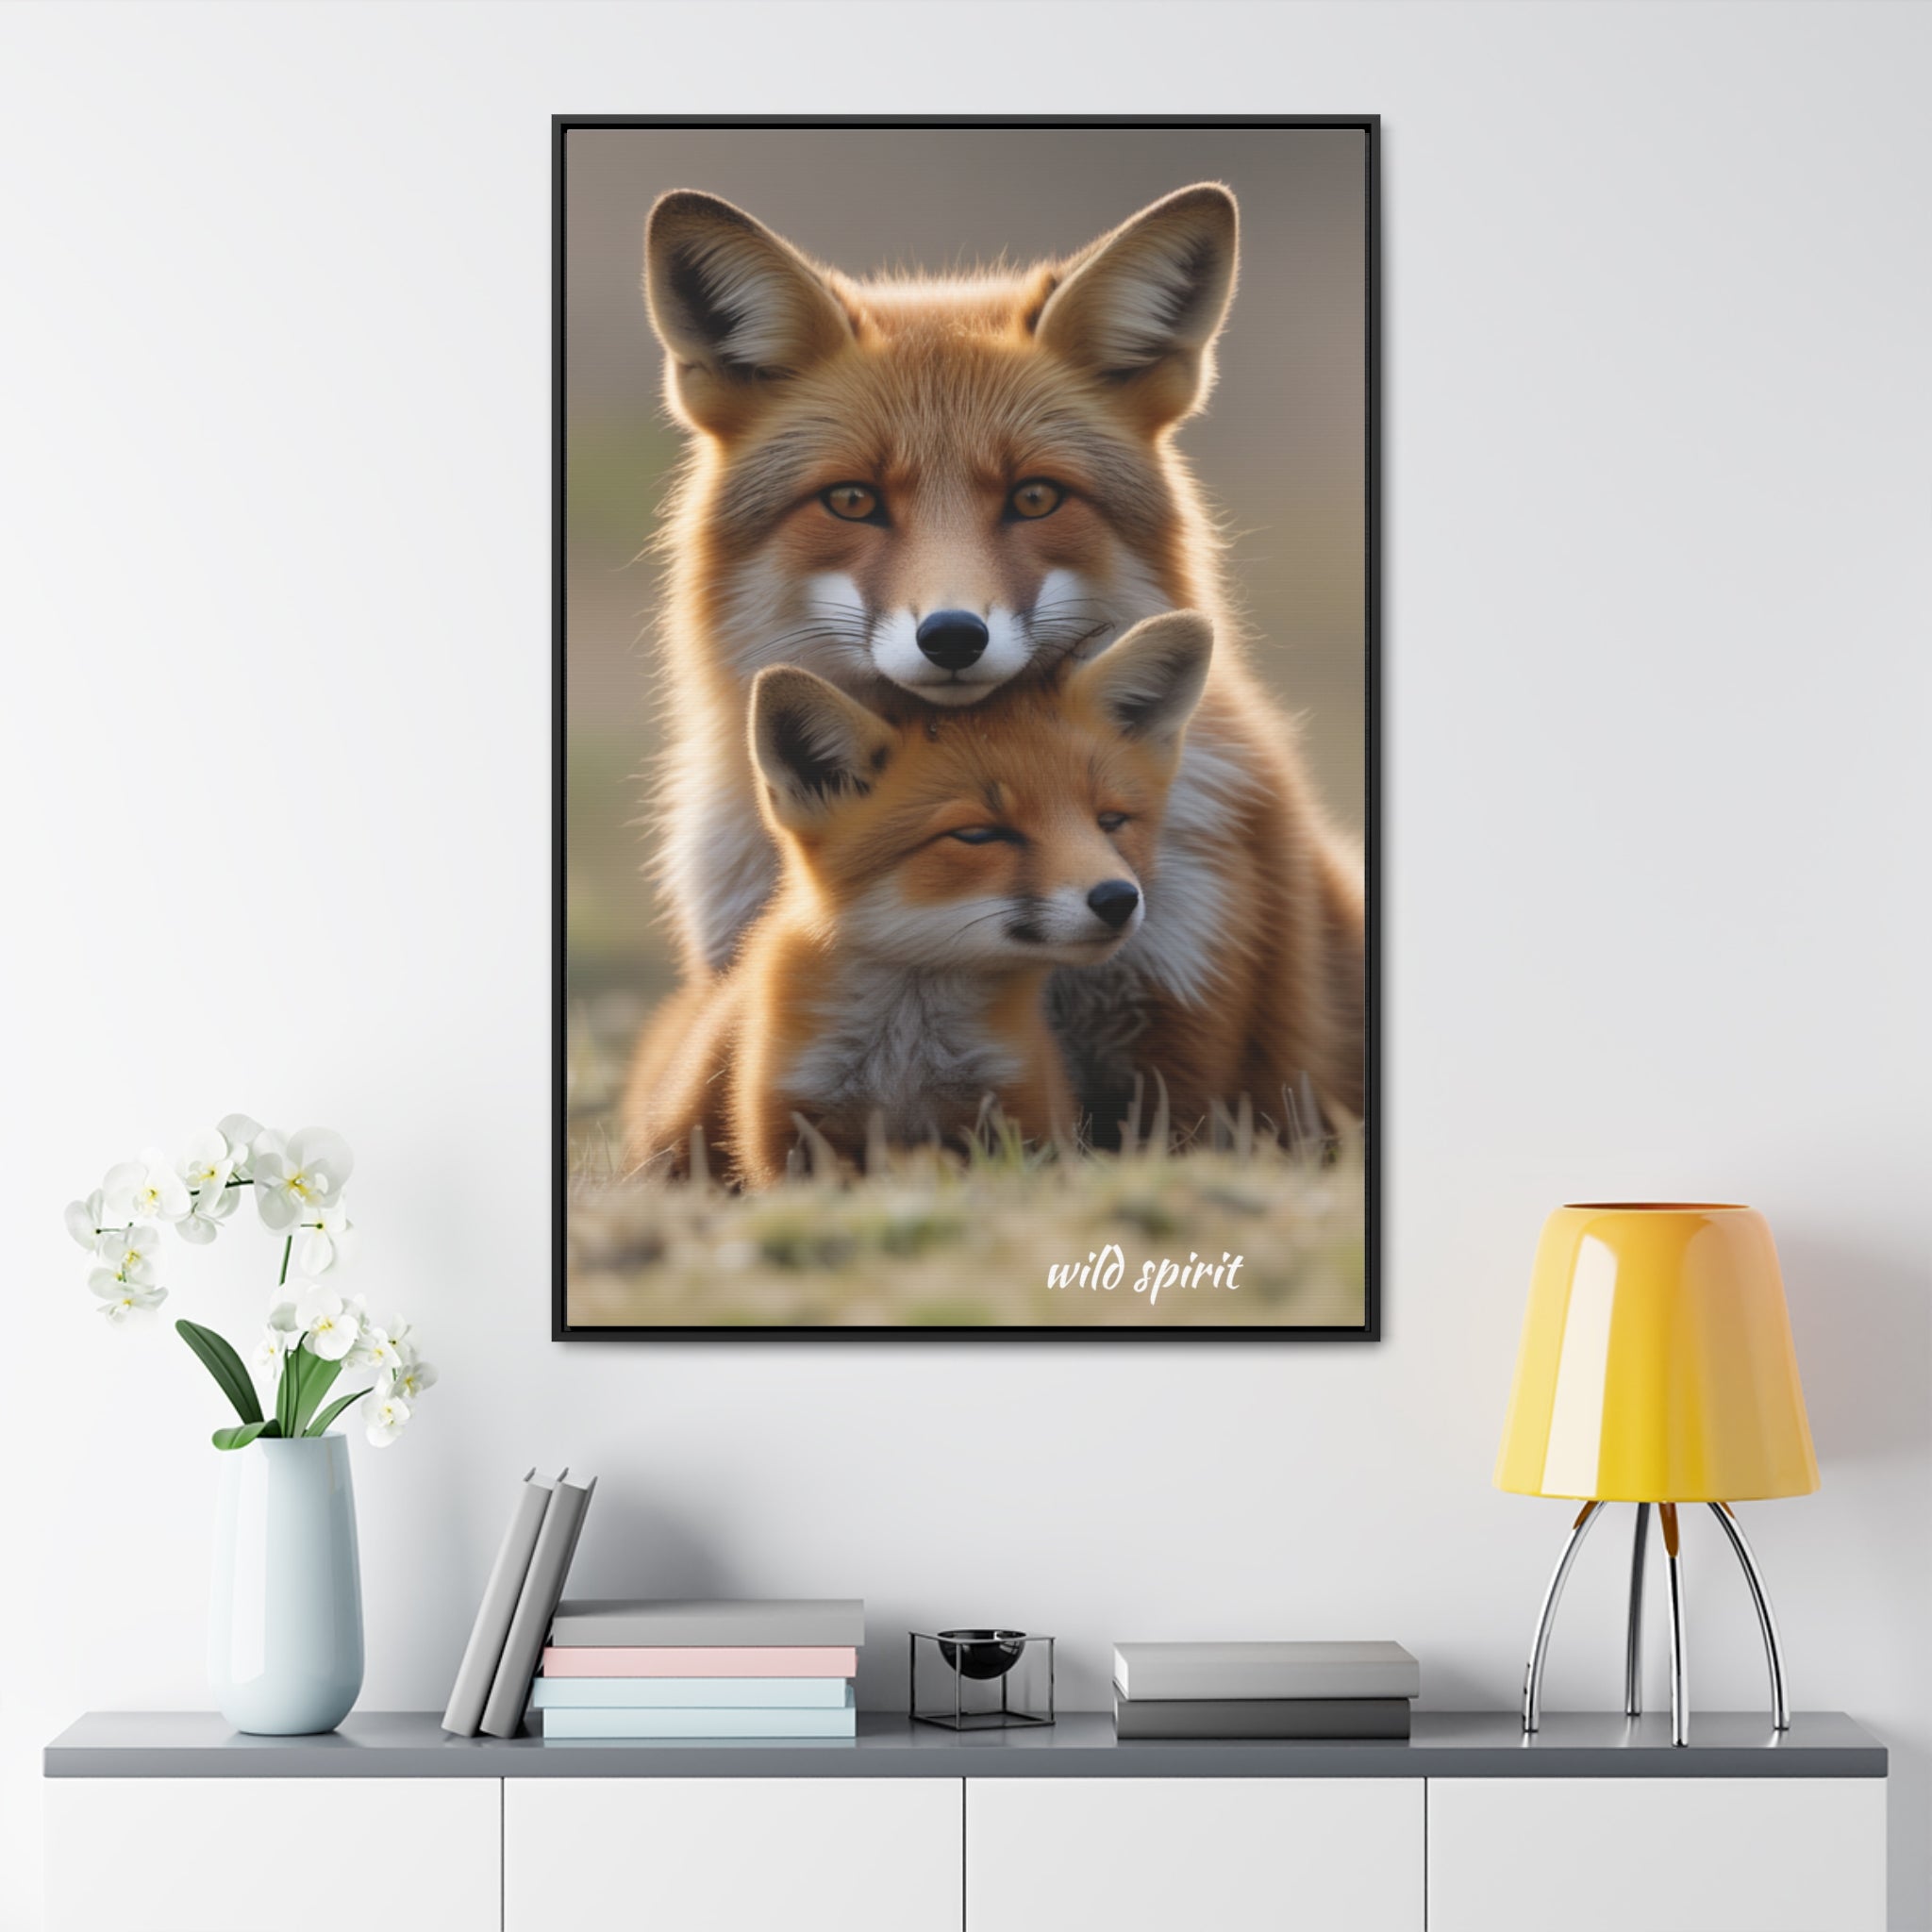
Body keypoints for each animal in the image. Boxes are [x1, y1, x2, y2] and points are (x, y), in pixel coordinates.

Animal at [622, 613, 1212, 1188]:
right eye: (978, 835)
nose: (1118, 899)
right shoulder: (789, 1129)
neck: (905, 1059)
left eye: (1110, 821)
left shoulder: (1021, 1112)